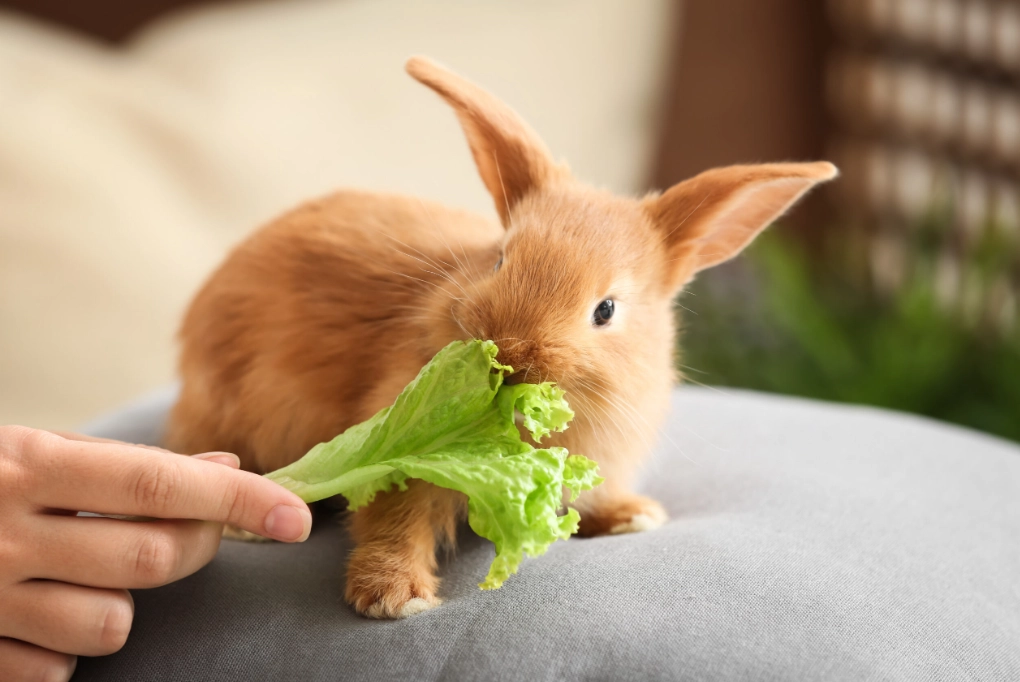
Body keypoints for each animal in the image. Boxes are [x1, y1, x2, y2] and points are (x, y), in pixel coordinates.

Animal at [164, 56, 837, 619]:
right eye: (500, 260)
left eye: (606, 310)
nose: (509, 356)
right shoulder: (397, 451)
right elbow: (394, 519)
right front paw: (395, 598)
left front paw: (632, 517)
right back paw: (247, 523)